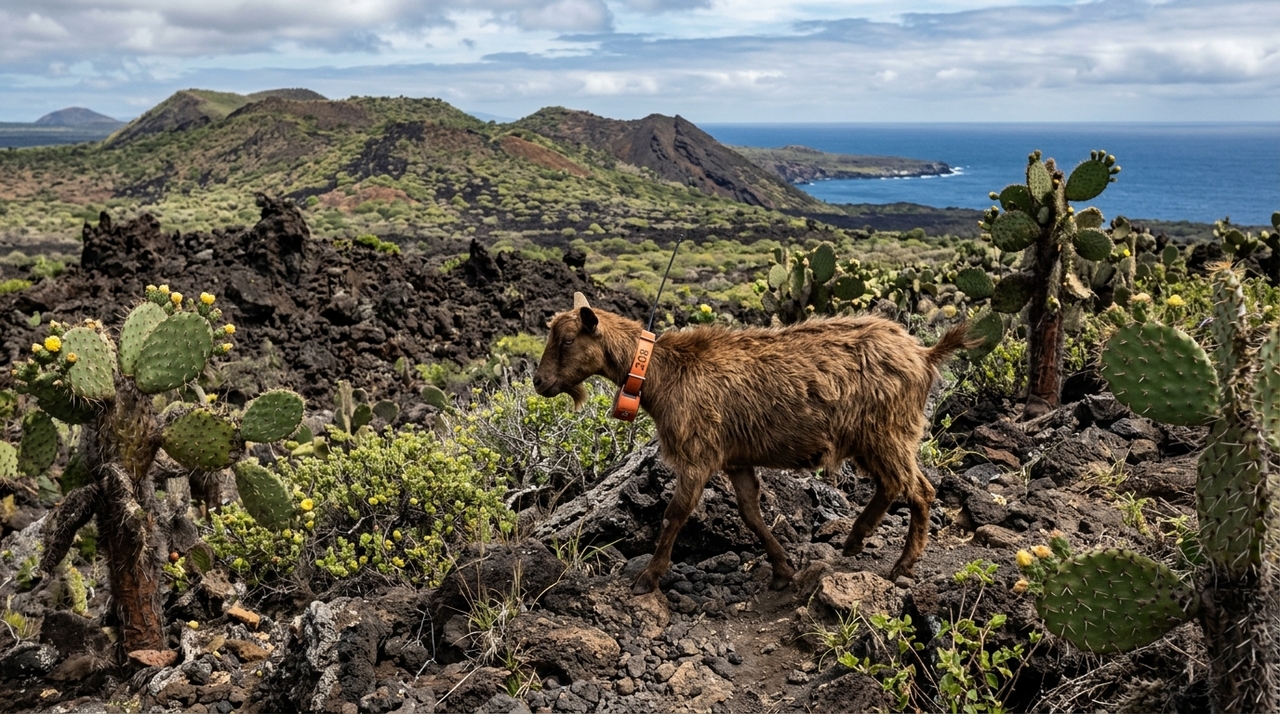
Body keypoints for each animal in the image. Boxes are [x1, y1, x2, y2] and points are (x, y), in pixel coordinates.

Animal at [534, 292, 973, 595]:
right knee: (893, 485)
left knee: (918, 490)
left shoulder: (697, 455)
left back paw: (902, 565)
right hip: (873, 439)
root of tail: (924, 353)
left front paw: (648, 577)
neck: (662, 372)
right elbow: (750, 513)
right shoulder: (735, 459)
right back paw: (855, 539)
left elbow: (675, 515)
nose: (539, 382)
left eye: (568, 340)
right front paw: (782, 570)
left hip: (889, 432)